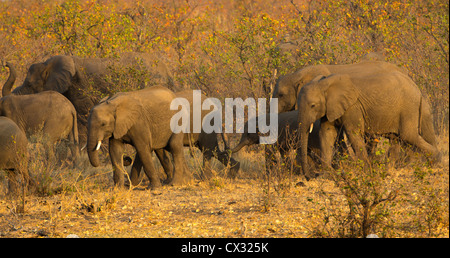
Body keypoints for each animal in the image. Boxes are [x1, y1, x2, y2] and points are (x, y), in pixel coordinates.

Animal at [296, 71, 440, 177]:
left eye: (313, 105)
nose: (309, 177)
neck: (324, 83)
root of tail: (417, 88)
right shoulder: (330, 108)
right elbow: (327, 133)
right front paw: (327, 174)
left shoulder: (353, 107)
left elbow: (353, 133)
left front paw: (364, 170)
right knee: (396, 138)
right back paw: (391, 169)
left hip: (408, 108)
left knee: (408, 135)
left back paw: (436, 160)